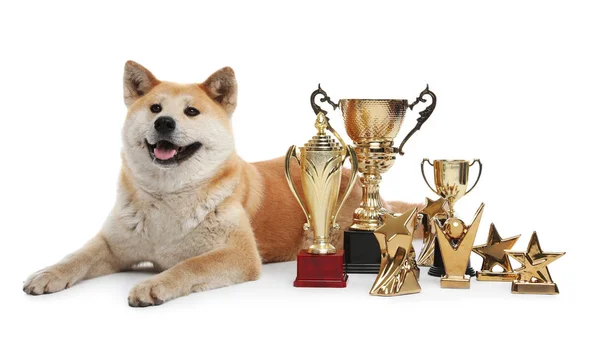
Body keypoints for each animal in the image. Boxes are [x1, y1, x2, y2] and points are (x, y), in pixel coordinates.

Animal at [23, 61, 418, 306]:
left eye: (191, 112)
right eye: (154, 108)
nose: (164, 123)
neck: (169, 198)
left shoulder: (239, 254)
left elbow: (188, 266)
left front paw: (153, 284)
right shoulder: (113, 245)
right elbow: (77, 256)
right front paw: (48, 273)